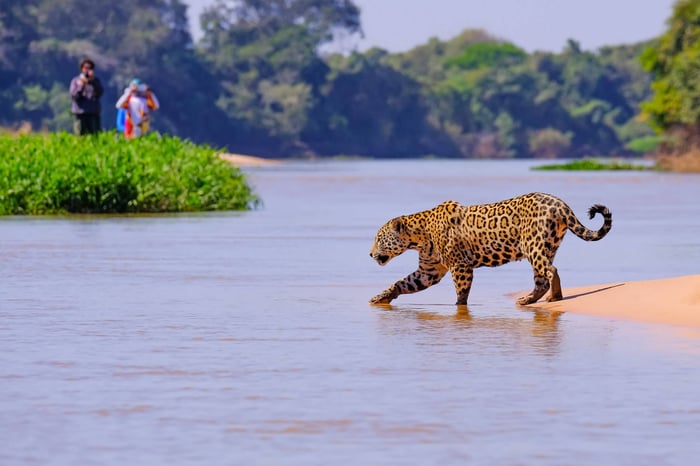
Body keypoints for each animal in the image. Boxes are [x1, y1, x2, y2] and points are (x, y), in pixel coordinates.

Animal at [369, 192, 612, 306]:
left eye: (379, 239)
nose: (370, 254)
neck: (419, 236)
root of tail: (560, 203)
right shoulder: (429, 271)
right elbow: (401, 283)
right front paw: (380, 297)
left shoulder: (460, 266)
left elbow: (461, 293)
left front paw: (459, 308)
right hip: (547, 246)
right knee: (542, 278)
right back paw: (528, 300)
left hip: (533, 245)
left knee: (551, 271)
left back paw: (555, 297)